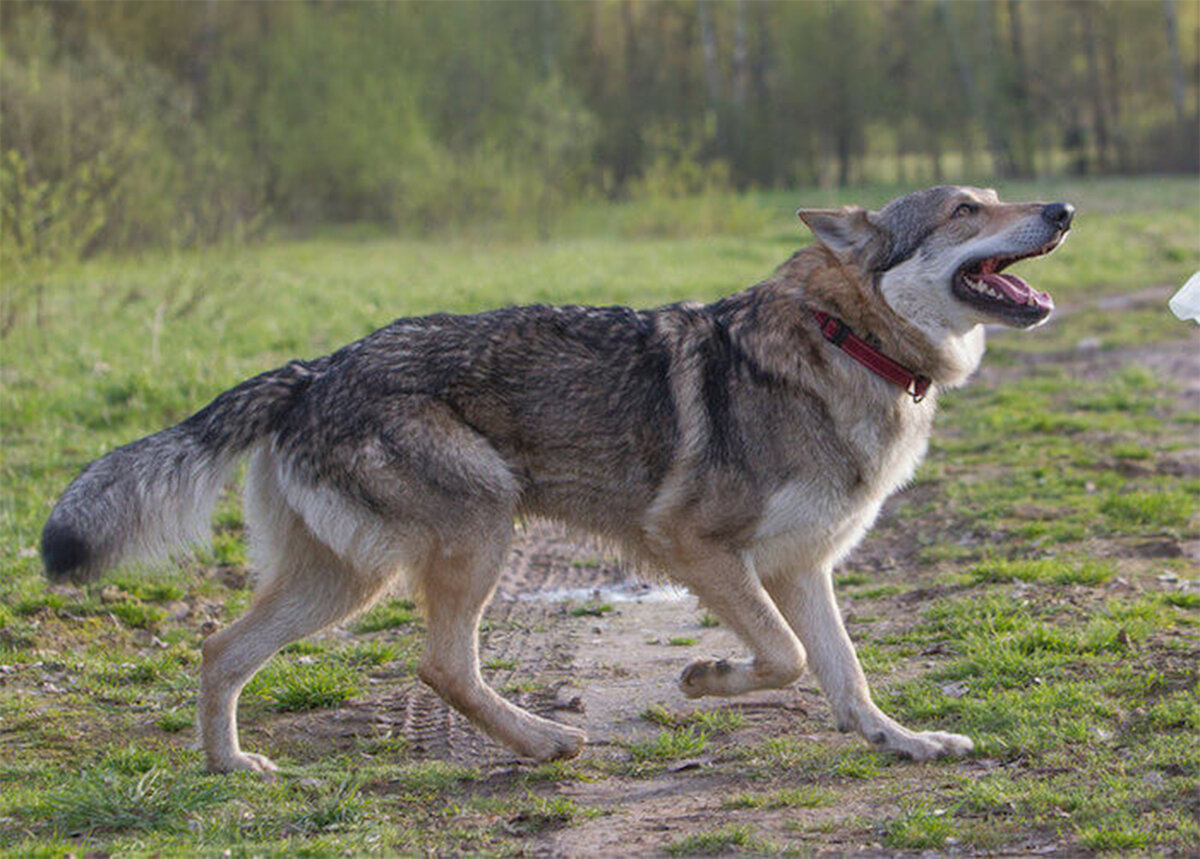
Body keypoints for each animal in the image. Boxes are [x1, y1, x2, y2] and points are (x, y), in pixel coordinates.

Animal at [39, 185, 1070, 772]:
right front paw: (705, 677)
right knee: (440, 665)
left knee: (219, 648)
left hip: (344, 579)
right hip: (475, 532)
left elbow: (846, 676)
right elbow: (784, 657)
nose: (1062, 210)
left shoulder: (801, 566)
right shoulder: (694, 547)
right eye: (964, 210)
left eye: (994, 194)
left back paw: (233, 769)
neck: (846, 341)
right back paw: (542, 742)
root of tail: (311, 369)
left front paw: (905, 743)